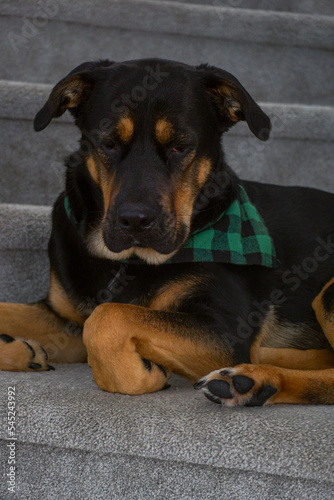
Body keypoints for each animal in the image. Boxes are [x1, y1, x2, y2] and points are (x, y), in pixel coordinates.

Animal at [0, 57, 334, 406]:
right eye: (109, 143)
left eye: (180, 146)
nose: (135, 220)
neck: (126, 263)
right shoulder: (63, 318)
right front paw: (17, 350)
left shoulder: (227, 331)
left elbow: (107, 317)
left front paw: (146, 375)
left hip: (327, 293)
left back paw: (251, 380)